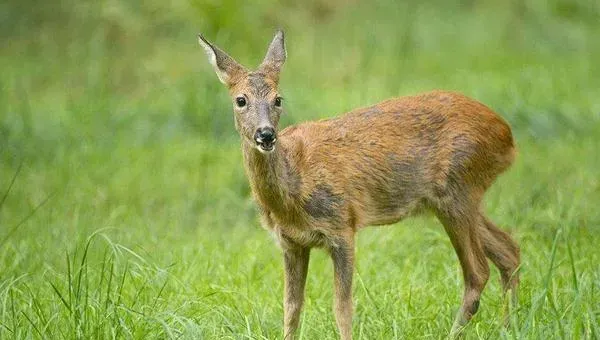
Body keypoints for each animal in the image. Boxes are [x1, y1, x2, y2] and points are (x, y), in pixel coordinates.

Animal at [197, 30, 520, 338]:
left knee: (478, 272)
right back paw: (510, 327)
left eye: (278, 99)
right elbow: (291, 307)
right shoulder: (291, 242)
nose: (265, 134)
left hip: (458, 190)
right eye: (241, 100)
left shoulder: (342, 226)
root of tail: (508, 136)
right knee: (509, 249)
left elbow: (342, 306)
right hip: (454, 199)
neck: (294, 188)